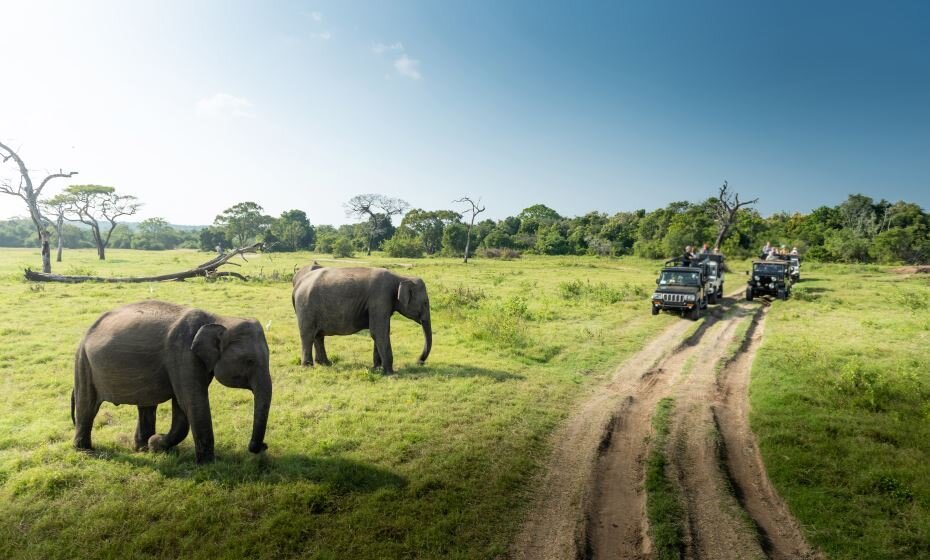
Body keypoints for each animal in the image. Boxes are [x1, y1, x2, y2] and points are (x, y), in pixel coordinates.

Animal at [71, 302, 272, 464]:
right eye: (249, 361)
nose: (263, 446)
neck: (218, 318)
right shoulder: (183, 354)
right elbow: (191, 402)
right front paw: (208, 464)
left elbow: (182, 405)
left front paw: (156, 445)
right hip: (83, 362)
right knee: (87, 406)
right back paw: (85, 451)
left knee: (146, 405)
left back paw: (142, 448)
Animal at [294, 266, 432, 374]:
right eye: (425, 303)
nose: (419, 362)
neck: (400, 277)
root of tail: (298, 284)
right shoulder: (380, 298)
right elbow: (379, 332)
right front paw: (390, 373)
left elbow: (380, 332)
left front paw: (376, 368)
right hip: (306, 307)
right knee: (308, 335)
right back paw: (308, 367)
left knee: (318, 335)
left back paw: (325, 363)